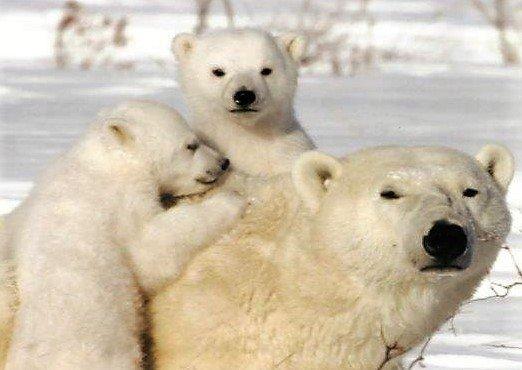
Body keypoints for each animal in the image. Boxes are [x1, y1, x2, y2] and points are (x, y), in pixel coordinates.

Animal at [1, 99, 244, 368]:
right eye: (191, 145)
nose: (223, 162)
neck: (106, 160)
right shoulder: (123, 202)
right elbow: (149, 250)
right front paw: (230, 201)